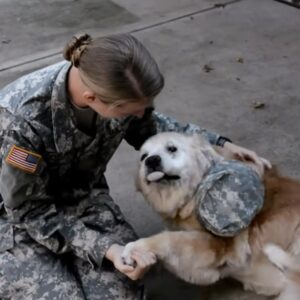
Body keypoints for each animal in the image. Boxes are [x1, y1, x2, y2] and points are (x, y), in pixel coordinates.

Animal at [120, 132, 300, 298]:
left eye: (172, 148)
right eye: (143, 157)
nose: (151, 161)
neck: (194, 192)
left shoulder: (219, 246)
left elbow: (170, 239)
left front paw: (135, 248)